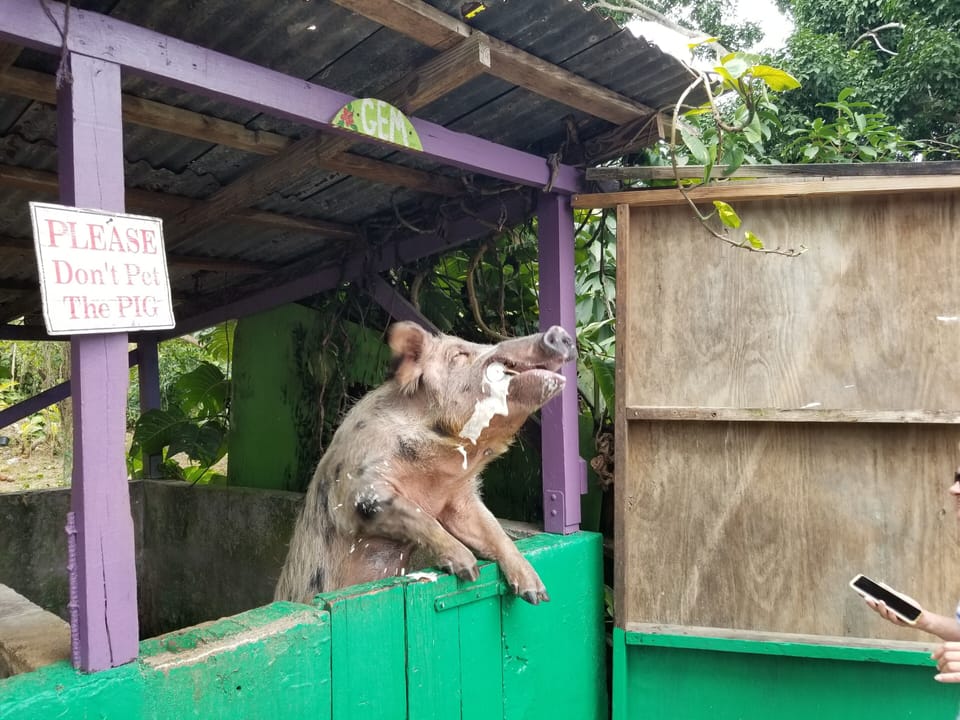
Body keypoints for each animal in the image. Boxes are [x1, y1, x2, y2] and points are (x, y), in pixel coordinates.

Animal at [274, 321, 576, 605]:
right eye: (459, 355)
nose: (558, 332)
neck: (436, 476)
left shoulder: (460, 499)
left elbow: (492, 528)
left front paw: (537, 594)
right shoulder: (360, 488)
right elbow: (416, 514)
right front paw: (469, 569)